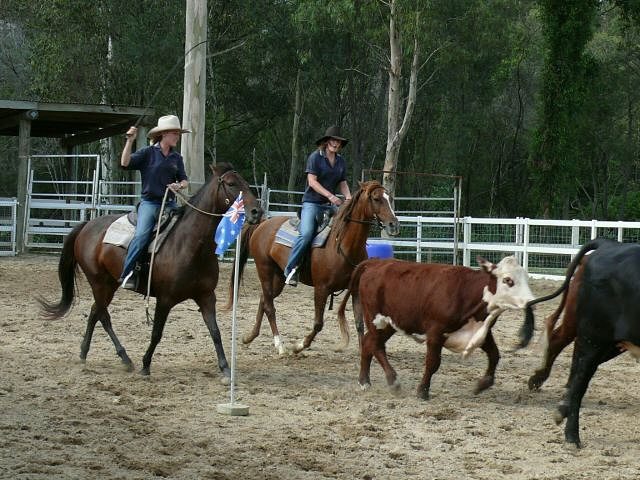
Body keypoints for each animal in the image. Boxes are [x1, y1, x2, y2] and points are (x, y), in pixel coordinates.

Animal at [38, 164, 262, 378]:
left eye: (246, 182)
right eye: (231, 184)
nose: (256, 212)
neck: (190, 244)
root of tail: (86, 226)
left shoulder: (206, 296)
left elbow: (215, 331)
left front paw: (225, 369)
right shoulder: (165, 299)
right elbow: (157, 333)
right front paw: (146, 365)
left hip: (109, 284)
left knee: (95, 313)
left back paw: (86, 353)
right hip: (99, 283)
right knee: (103, 315)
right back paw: (125, 358)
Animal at [230, 182, 398, 354]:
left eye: (389, 198)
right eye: (376, 198)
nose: (393, 224)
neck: (342, 245)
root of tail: (263, 223)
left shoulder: (355, 290)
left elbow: (359, 323)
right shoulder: (321, 288)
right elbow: (318, 324)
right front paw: (299, 346)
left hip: (278, 277)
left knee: (264, 299)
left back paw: (250, 336)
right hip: (264, 270)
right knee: (269, 306)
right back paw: (280, 346)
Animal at [336, 256, 536, 400]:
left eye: (526, 278)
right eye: (508, 280)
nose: (531, 301)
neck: (468, 292)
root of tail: (375, 262)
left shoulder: (482, 334)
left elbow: (495, 355)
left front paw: (482, 384)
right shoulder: (435, 333)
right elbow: (433, 362)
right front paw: (422, 391)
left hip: (390, 324)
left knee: (368, 343)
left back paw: (365, 381)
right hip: (376, 320)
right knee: (375, 345)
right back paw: (392, 382)